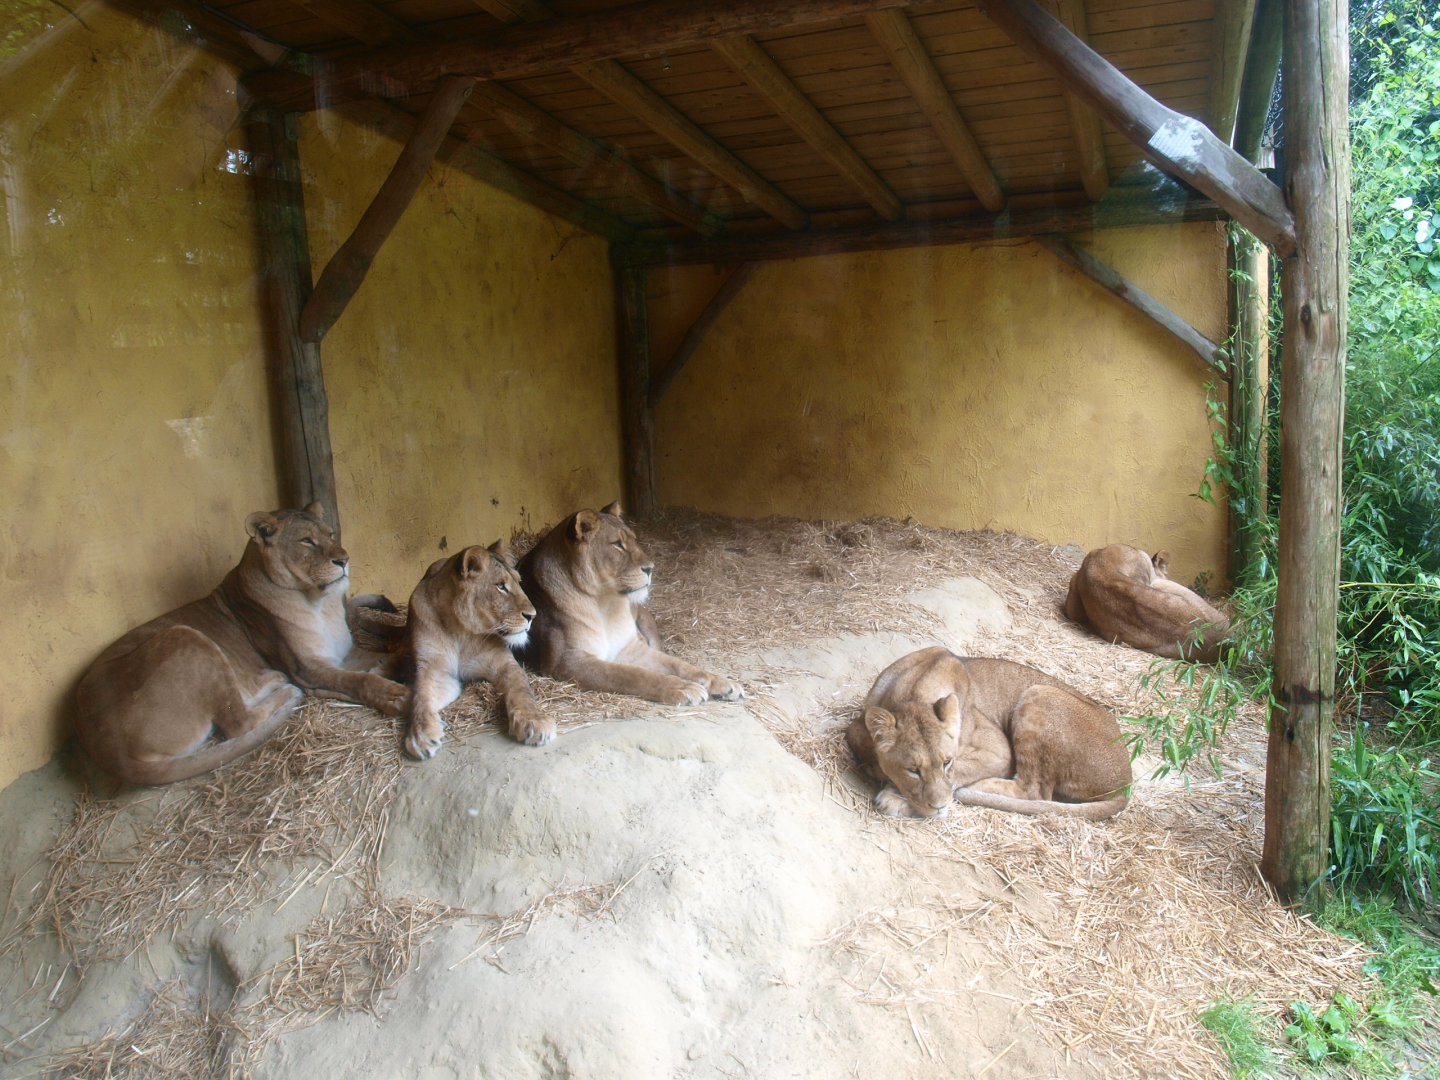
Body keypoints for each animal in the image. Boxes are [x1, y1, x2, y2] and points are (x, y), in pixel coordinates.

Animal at [74, 503, 409, 786]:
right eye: (306, 541)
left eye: (329, 534)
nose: (344, 560)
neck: (319, 603)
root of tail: (103, 746)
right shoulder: (306, 667)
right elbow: (356, 681)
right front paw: (392, 694)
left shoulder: (343, 653)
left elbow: (378, 656)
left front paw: (394, 664)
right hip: (186, 637)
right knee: (238, 722)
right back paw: (283, 689)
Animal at [402, 540, 552, 760]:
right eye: (500, 586)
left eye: (519, 582)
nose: (532, 616)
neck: (459, 631)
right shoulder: (434, 670)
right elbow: (421, 697)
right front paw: (421, 735)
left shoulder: (504, 662)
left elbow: (521, 690)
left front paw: (534, 722)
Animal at [516, 502, 744, 705]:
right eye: (617, 544)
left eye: (634, 540)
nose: (651, 568)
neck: (604, 602)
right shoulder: (566, 660)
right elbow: (631, 675)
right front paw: (682, 687)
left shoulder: (629, 646)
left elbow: (679, 664)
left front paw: (720, 682)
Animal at [847, 647, 1130, 820]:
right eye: (913, 770)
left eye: (947, 762)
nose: (940, 807)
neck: (915, 690)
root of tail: (1126, 782)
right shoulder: (862, 720)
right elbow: (855, 735)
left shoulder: (1000, 752)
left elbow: (960, 772)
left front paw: (895, 796)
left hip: (1041, 694)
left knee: (1033, 791)